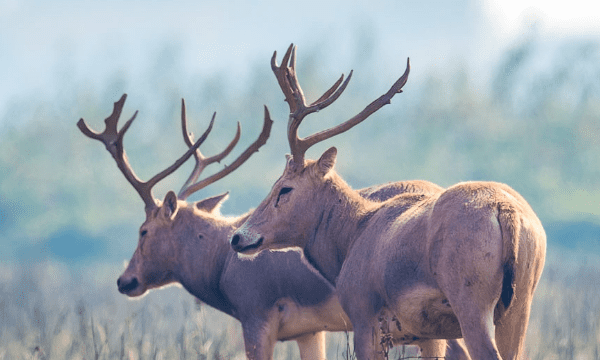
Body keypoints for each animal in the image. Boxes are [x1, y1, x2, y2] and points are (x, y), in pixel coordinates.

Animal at [231, 45, 548, 360]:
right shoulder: (428, 336)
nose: (238, 237)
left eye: (284, 188)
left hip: (470, 300)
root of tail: (505, 211)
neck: (353, 235)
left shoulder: (363, 314)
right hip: (520, 306)